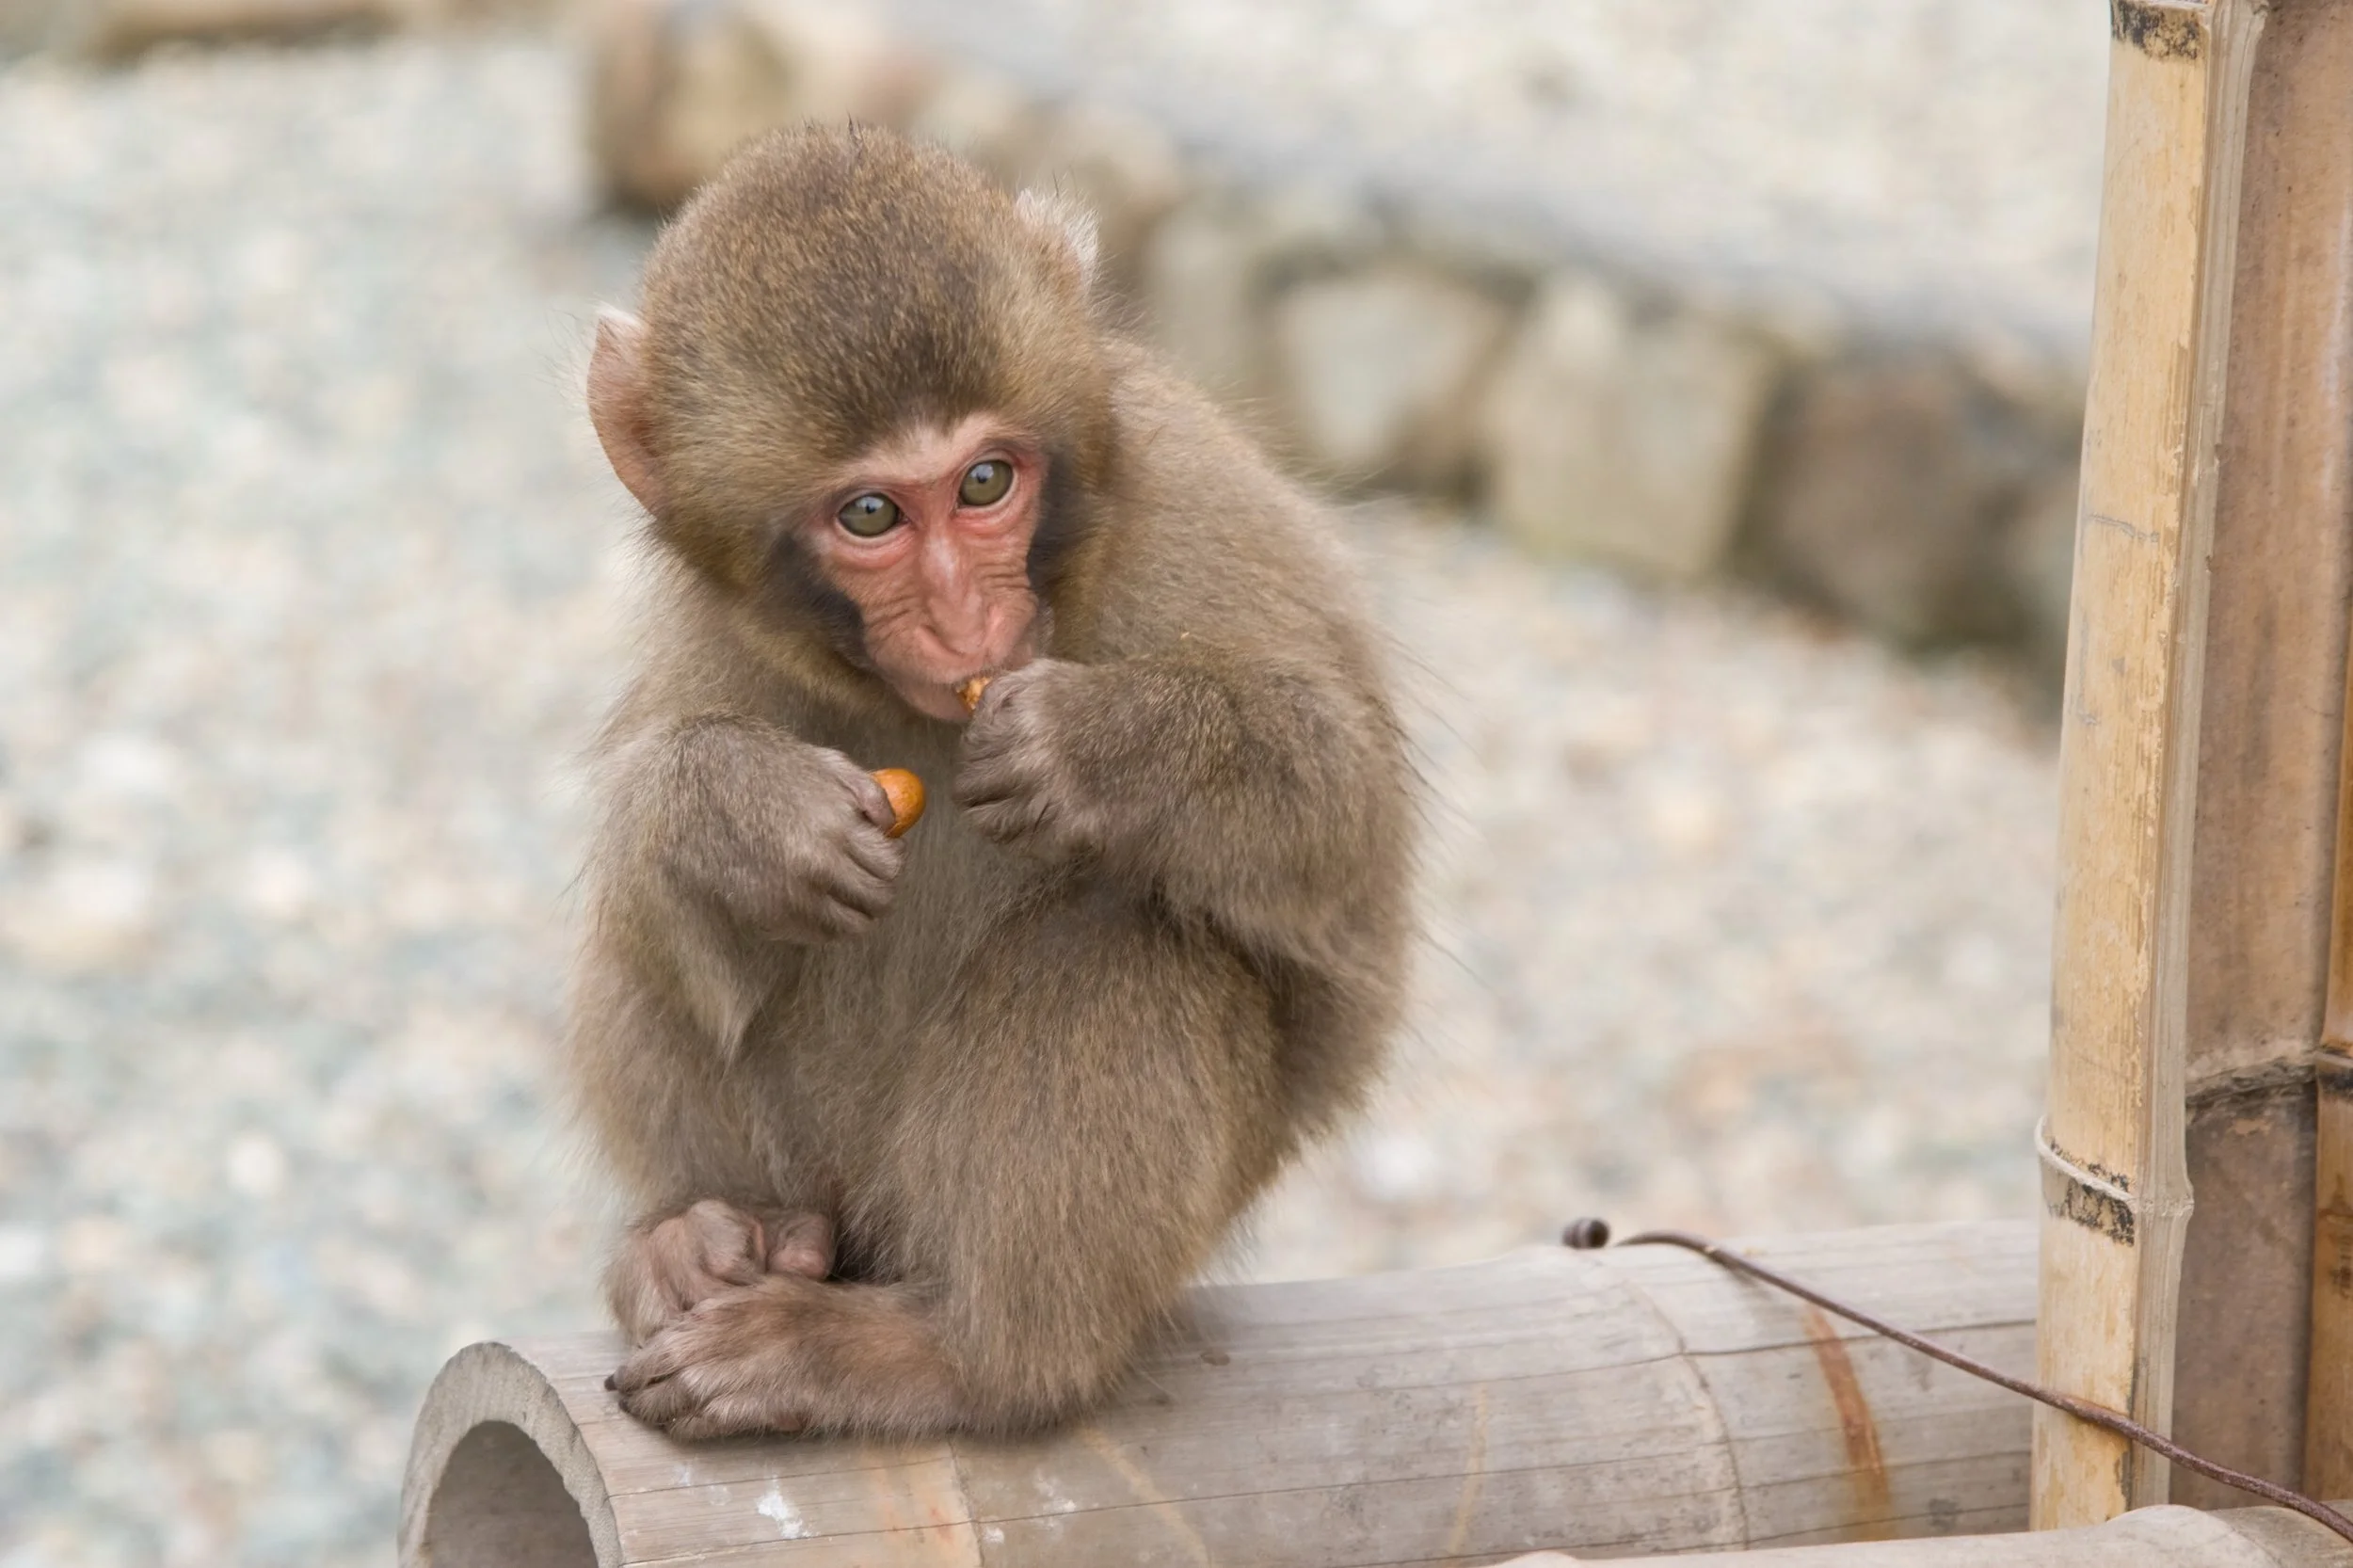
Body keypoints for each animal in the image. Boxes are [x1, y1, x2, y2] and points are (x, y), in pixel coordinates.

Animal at [571, 123, 1417, 1442]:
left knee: (1116, 934)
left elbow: (1345, 801)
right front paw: (743, 820)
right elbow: (644, 831)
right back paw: (700, 1240)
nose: (968, 621)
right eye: (871, 513)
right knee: (656, 943)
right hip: (825, 1176)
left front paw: (1092, 750)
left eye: (984, 483)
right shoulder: (716, 620)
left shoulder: (1191, 499)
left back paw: (962, 1358)